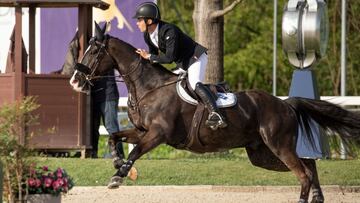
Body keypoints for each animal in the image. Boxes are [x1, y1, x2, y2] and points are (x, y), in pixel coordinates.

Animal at [69, 22, 360, 203]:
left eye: (93, 50)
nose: (75, 81)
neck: (149, 87)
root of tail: (286, 103)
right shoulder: (142, 130)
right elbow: (114, 137)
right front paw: (118, 163)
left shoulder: (158, 134)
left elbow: (136, 150)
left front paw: (118, 176)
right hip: (262, 153)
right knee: (309, 165)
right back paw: (318, 196)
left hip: (278, 145)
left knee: (302, 172)